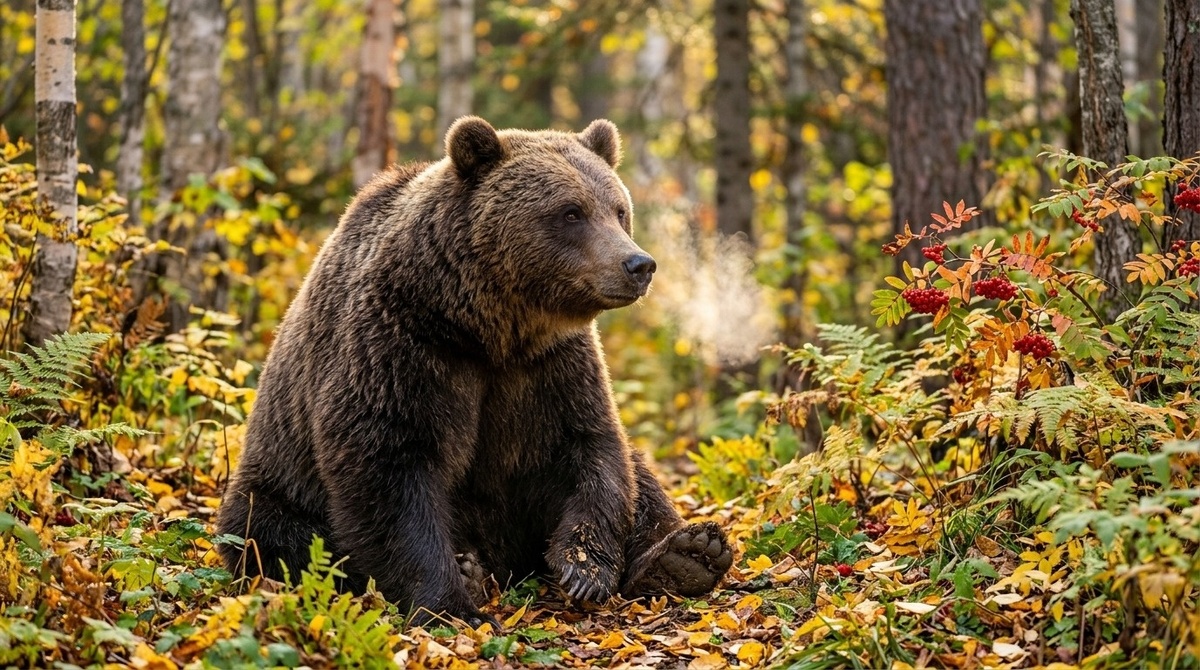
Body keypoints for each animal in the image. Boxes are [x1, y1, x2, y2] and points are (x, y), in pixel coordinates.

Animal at [215, 116, 733, 626]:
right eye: (571, 212)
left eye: (619, 209)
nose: (638, 264)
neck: (487, 326)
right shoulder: (400, 345)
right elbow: (387, 463)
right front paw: (450, 602)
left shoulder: (551, 365)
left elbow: (592, 447)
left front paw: (584, 567)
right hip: (279, 482)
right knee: (272, 533)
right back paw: (469, 569)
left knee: (641, 477)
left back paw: (686, 554)